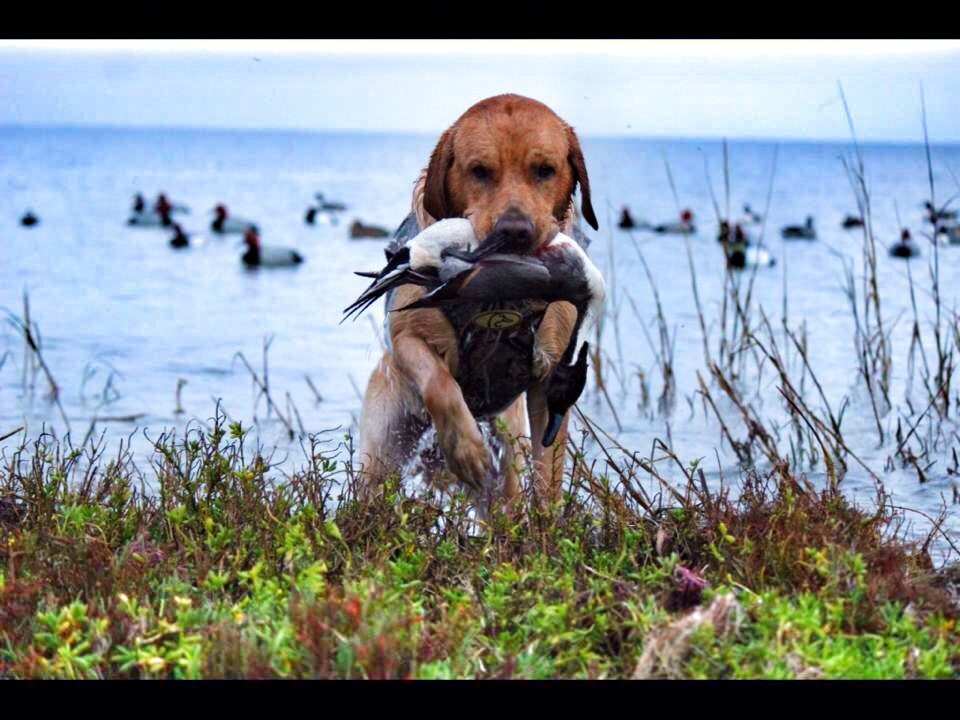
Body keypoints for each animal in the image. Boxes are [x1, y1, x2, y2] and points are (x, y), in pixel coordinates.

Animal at [356, 93, 596, 506]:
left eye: (545, 170)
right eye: (479, 171)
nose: (514, 232)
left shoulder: (550, 377)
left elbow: (547, 474)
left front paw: (546, 518)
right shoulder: (405, 337)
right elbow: (439, 383)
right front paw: (465, 451)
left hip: (507, 448)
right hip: (382, 447)